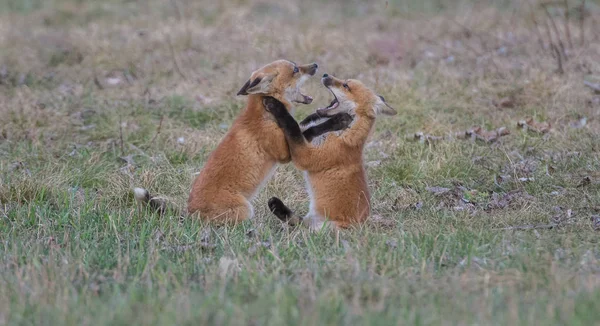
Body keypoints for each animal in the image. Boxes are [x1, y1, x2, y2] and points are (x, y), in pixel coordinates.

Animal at [136, 60, 352, 224]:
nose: (315, 65)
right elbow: (305, 129)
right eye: (296, 69)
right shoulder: (285, 153)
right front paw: (338, 120)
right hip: (245, 210)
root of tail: (191, 214)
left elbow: (303, 124)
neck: (263, 114)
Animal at [264, 73, 396, 229]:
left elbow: (292, 125)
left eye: (346, 86)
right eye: (345, 82)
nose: (325, 74)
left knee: (301, 226)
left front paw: (276, 105)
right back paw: (278, 207)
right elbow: (306, 123)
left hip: (322, 229)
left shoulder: (305, 156)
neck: (341, 134)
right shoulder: (306, 133)